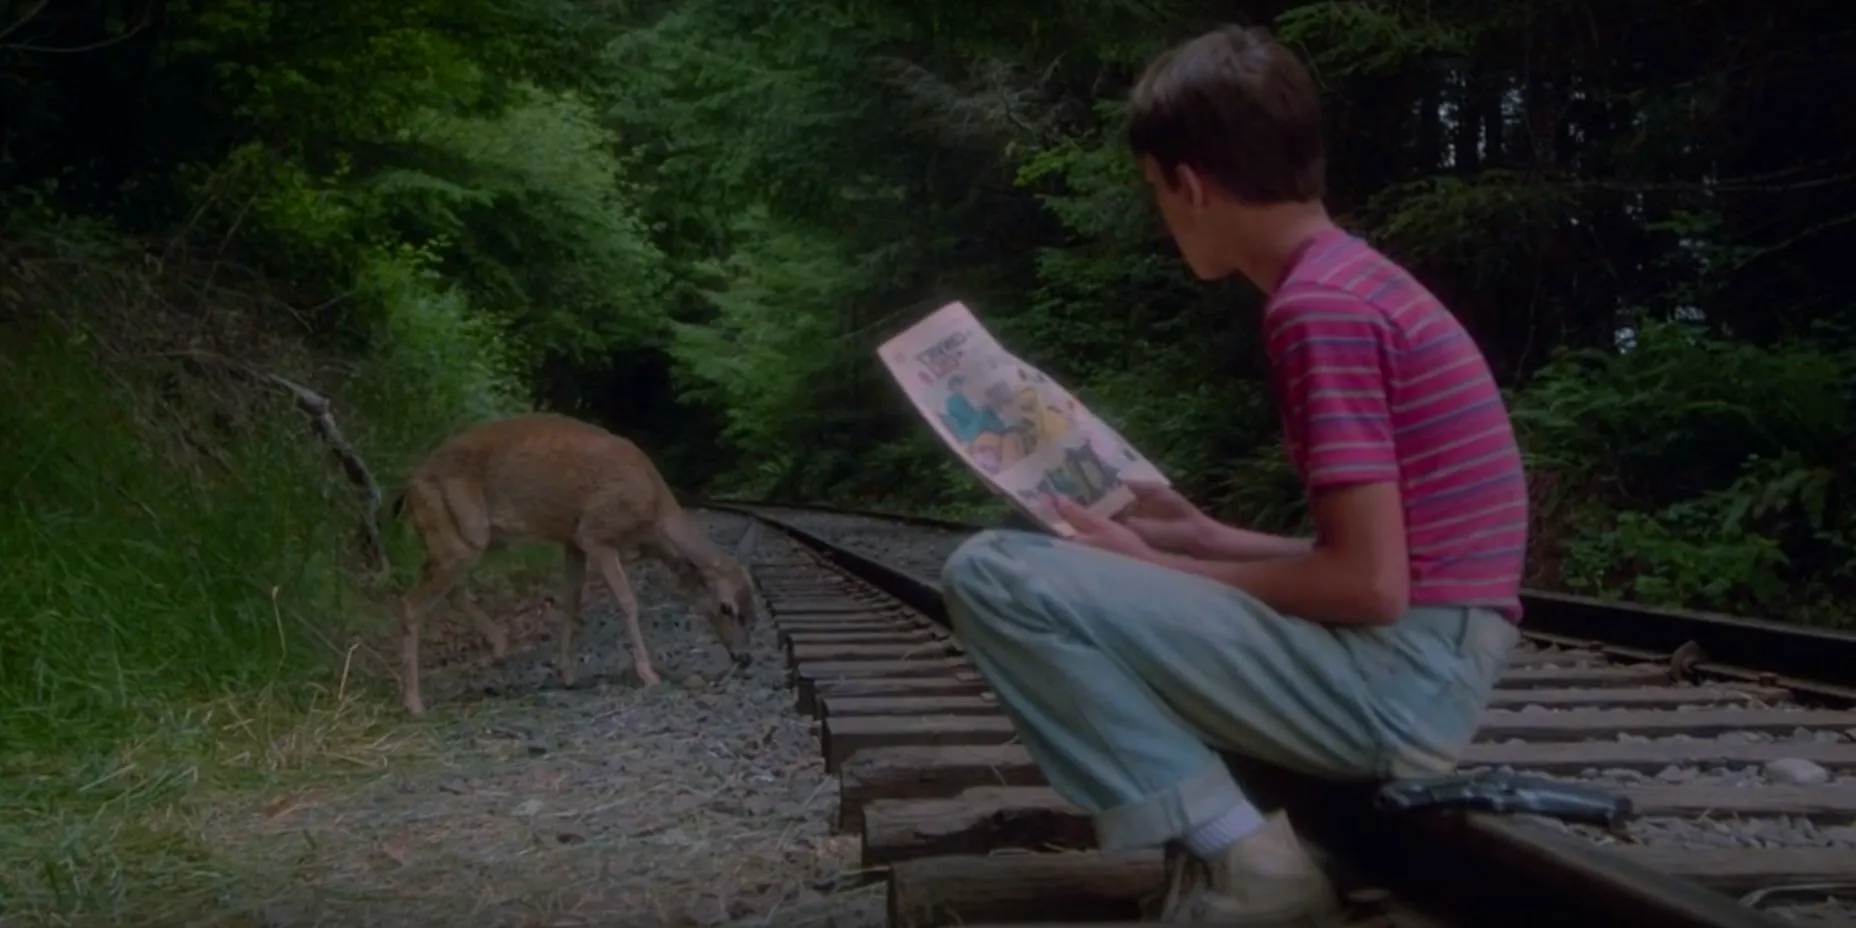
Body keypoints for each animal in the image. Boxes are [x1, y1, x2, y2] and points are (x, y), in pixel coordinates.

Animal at [391, 413, 760, 716]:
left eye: (752, 610)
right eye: (726, 607)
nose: (745, 657)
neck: (654, 520)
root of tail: (408, 489)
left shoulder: (573, 541)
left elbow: (572, 603)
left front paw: (567, 673)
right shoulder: (596, 533)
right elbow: (627, 601)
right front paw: (648, 672)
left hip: (474, 539)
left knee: (448, 592)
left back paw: (498, 646)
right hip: (459, 533)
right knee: (411, 603)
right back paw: (414, 702)